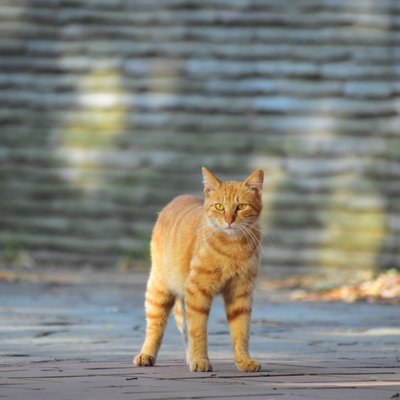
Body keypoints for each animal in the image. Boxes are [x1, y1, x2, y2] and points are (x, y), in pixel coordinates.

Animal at [136, 166, 264, 372]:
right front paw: (200, 360)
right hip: (159, 288)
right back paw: (146, 355)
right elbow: (198, 330)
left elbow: (241, 331)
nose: (229, 220)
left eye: (241, 207)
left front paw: (244, 360)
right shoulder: (197, 291)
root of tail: (178, 197)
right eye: (219, 207)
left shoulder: (240, 292)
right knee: (155, 326)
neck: (233, 247)